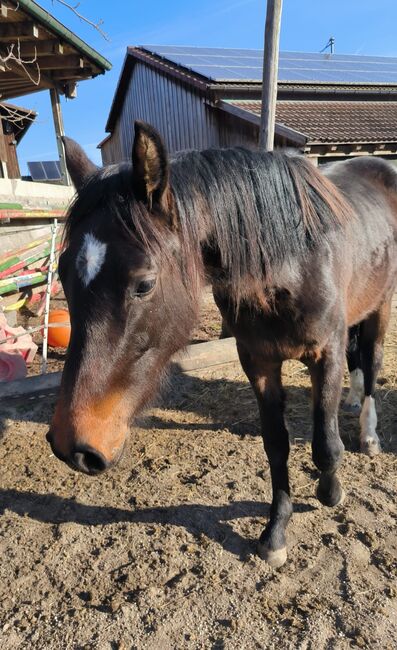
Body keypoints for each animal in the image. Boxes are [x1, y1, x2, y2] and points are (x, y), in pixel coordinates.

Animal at [47, 123, 396, 568]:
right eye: (63, 275)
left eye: (144, 284)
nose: (71, 446)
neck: (293, 263)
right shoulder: (258, 361)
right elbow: (276, 446)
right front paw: (275, 532)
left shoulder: (326, 353)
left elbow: (325, 447)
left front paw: (331, 492)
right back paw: (350, 402)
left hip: (381, 306)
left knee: (371, 362)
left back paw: (368, 436)